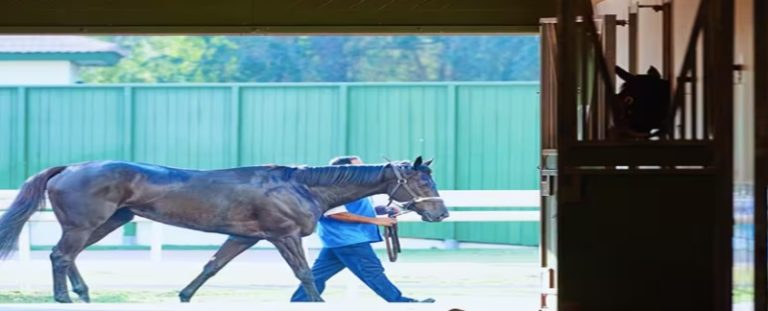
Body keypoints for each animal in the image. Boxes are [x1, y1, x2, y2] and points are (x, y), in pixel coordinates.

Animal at [0, 157, 448, 304]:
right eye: (422, 180)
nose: (441, 212)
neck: (300, 185)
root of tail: (69, 168)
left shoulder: (245, 236)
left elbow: (212, 265)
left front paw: (184, 295)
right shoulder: (282, 234)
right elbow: (304, 273)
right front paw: (317, 301)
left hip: (111, 221)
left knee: (70, 255)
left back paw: (83, 293)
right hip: (87, 223)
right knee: (61, 254)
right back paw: (64, 297)